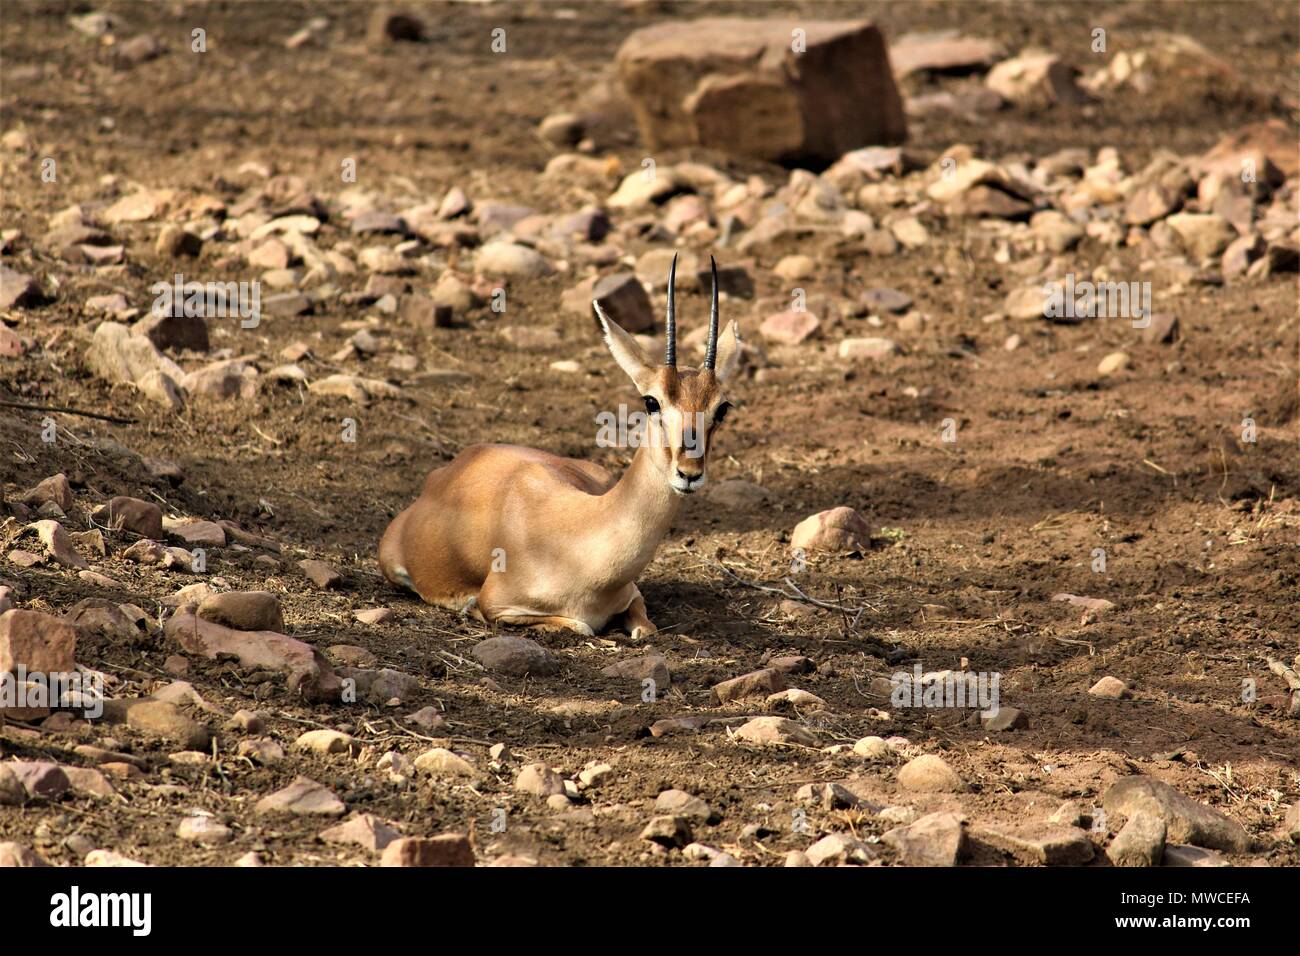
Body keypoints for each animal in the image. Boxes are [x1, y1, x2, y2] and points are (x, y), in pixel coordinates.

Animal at [377, 257, 743, 639]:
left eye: (722, 408)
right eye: (651, 401)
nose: (689, 472)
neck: (581, 545)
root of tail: (443, 472)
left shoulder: (633, 594)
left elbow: (645, 627)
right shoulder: (501, 605)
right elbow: (581, 626)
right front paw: (469, 607)